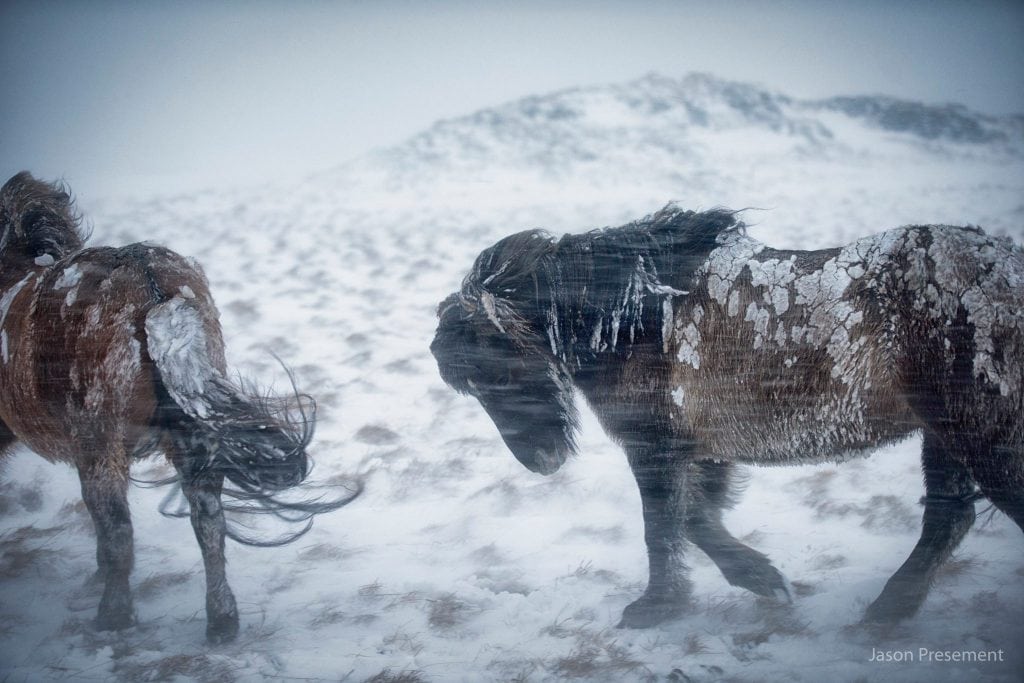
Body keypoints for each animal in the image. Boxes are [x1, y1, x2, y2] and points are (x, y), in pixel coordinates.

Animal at [0, 174, 360, 643]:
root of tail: (154, 290)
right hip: (192, 443)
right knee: (209, 523)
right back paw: (221, 621)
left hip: (100, 446)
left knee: (118, 530)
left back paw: (113, 617)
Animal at [432, 206, 1024, 630]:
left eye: (495, 369)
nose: (542, 461)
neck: (631, 314)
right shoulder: (702, 449)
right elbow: (696, 519)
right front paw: (762, 579)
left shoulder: (656, 446)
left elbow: (664, 526)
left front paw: (657, 608)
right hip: (945, 436)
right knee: (947, 519)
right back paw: (885, 614)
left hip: (977, 437)